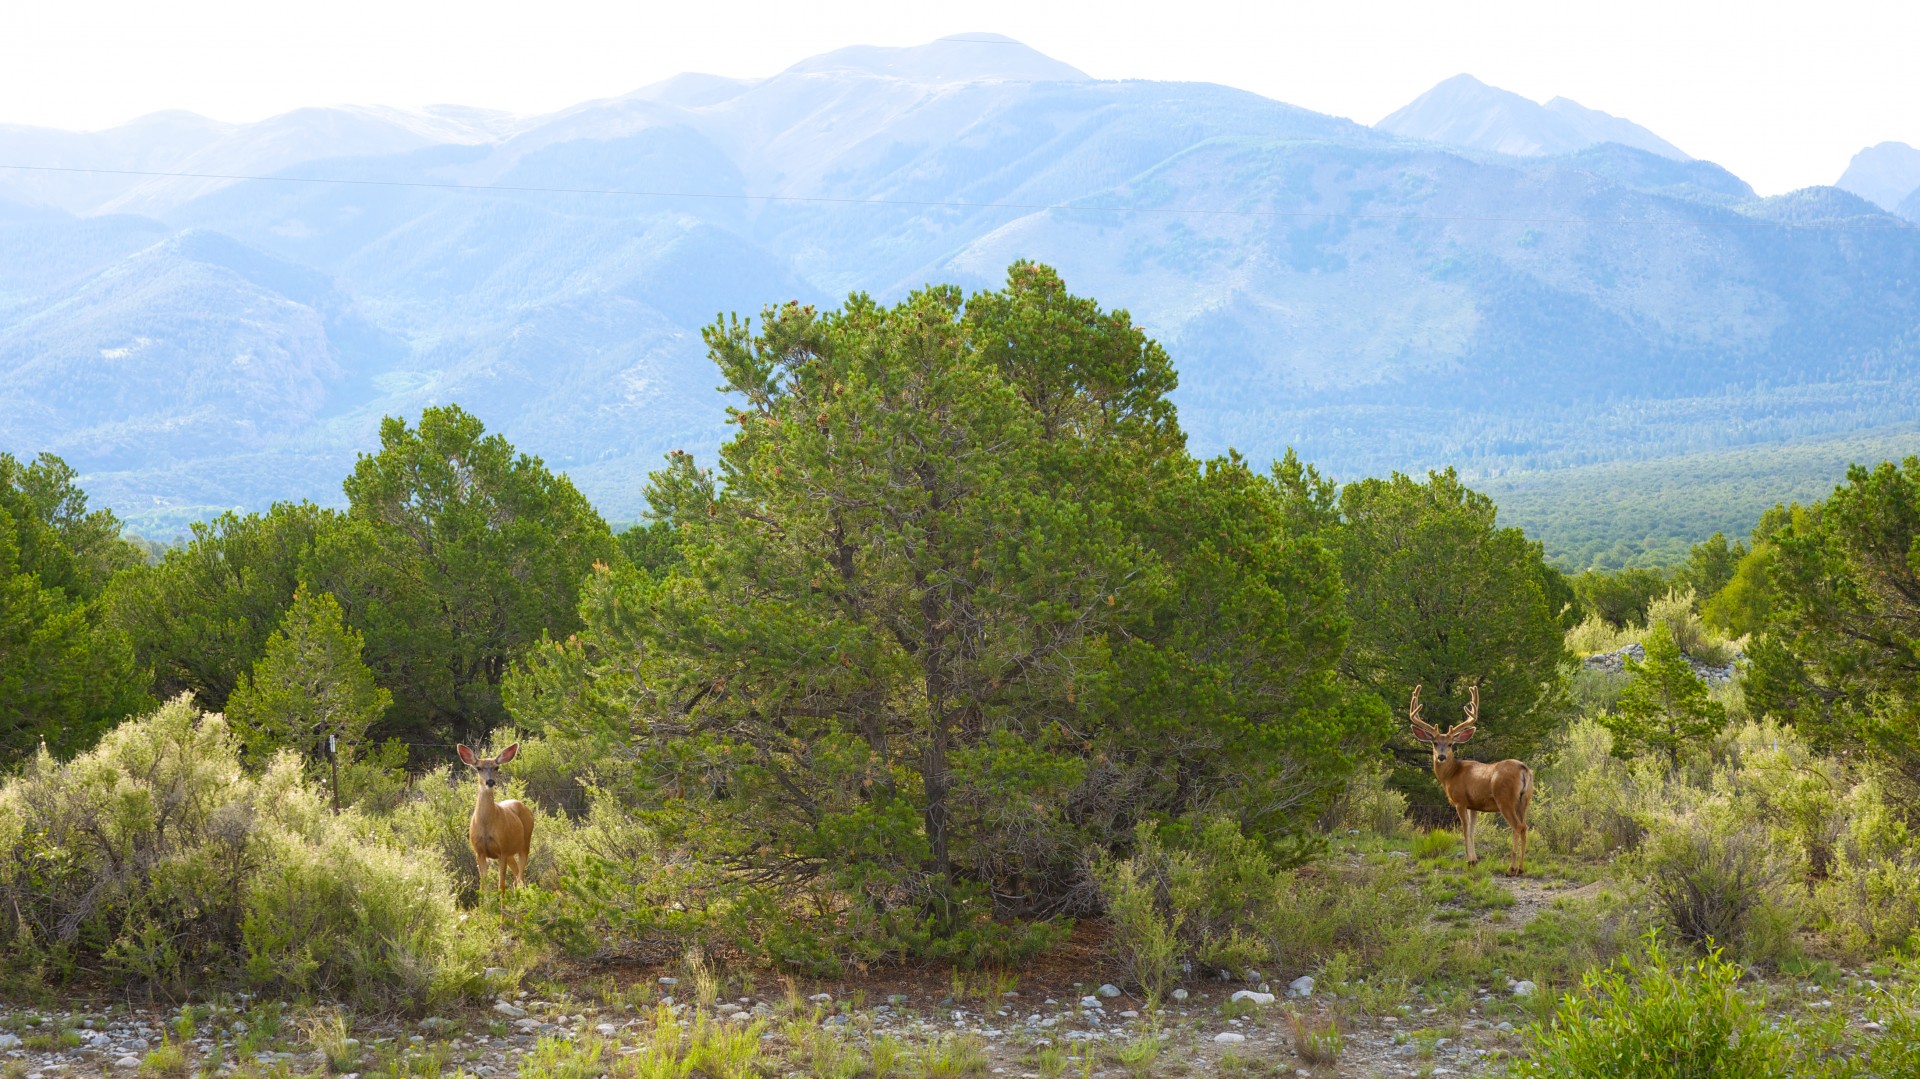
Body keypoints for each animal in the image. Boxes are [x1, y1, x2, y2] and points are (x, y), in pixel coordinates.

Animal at [1413, 679, 1528, 875]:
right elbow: (1473, 830)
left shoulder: (1460, 801)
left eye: (1450, 744)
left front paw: (1469, 860)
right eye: (1434, 743)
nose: (1441, 756)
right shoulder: (1474, 805)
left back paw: (1511, 868)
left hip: (1506, 799)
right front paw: (1475, 860)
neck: (1451, 774)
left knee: (1517, 826)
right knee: (1525, 827)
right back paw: (1521, 868)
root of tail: (1523, 769)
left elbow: (1465, 830)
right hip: (1525, 800)